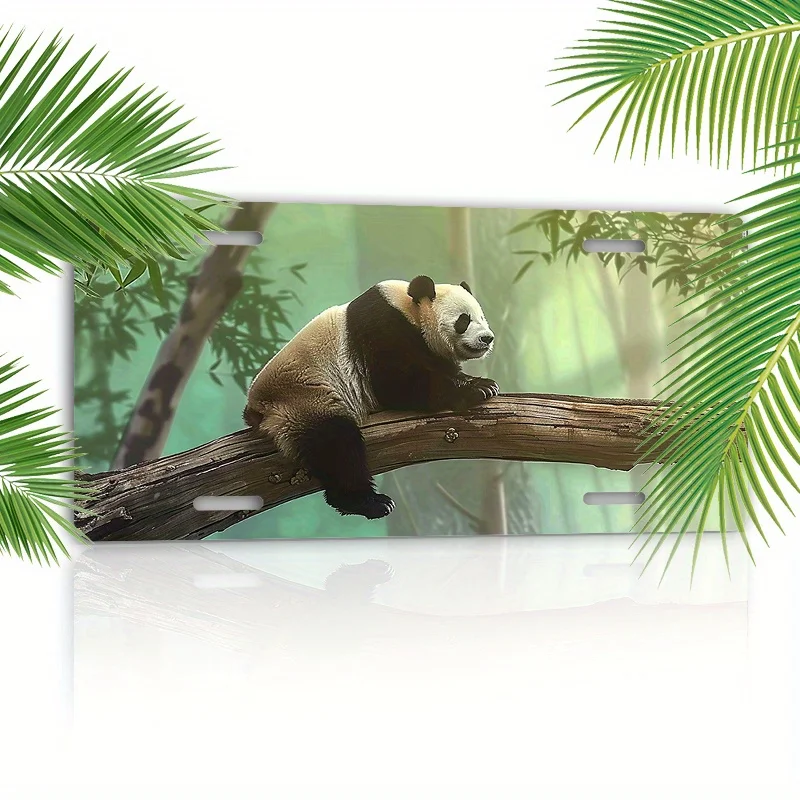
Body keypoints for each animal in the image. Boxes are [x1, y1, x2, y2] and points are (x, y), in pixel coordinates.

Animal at [244, 275, 498, 519]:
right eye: (464, 320)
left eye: (482, 317)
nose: (487, 338)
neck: (409, 309)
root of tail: (257, 407)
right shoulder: (382, 330)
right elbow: (396, 385)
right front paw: (475, 389)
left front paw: (477, 382)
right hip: (305, 400)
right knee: (338, 446)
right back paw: (368, 503)